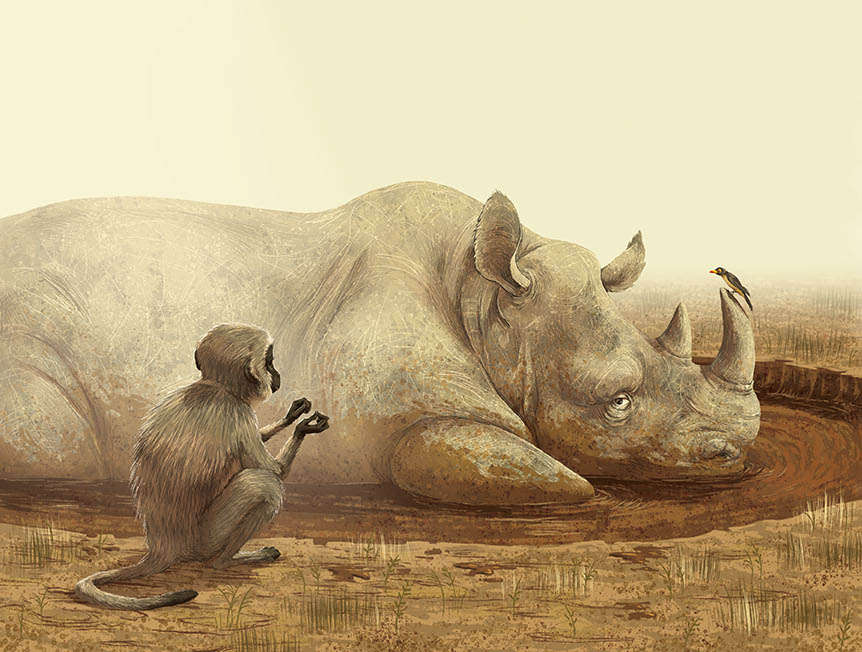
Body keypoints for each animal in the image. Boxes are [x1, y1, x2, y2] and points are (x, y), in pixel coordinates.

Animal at [0, 182, 760, 504]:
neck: (485, 300)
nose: (734, 455)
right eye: (617, 400)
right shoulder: (409, 416)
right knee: (57, 441)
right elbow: (510, 467)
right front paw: (584, 484)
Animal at [74, 323, 329, 610]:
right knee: (262, 484)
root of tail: (163, 546)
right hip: (206, 539)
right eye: (269, 362)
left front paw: (291, 415)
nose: (277, 374)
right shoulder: (238, 412)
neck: (214, 386)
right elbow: (276, 471)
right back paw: (227, 560)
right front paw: (302, 427)